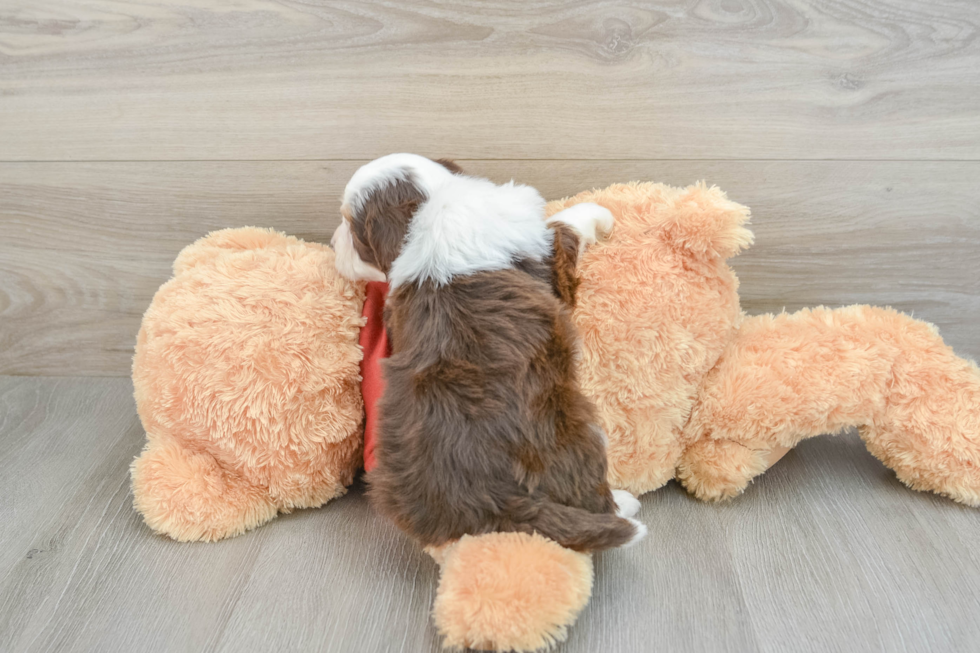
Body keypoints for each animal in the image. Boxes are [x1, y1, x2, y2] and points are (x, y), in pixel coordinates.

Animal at [334, 154, 648, 552]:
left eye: (351, 229)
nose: (332, 242)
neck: (435, 201)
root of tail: (494, 496)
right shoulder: (547, 260)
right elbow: (563, 226)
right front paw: (601, 213)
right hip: (577, 427)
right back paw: (624, 503)